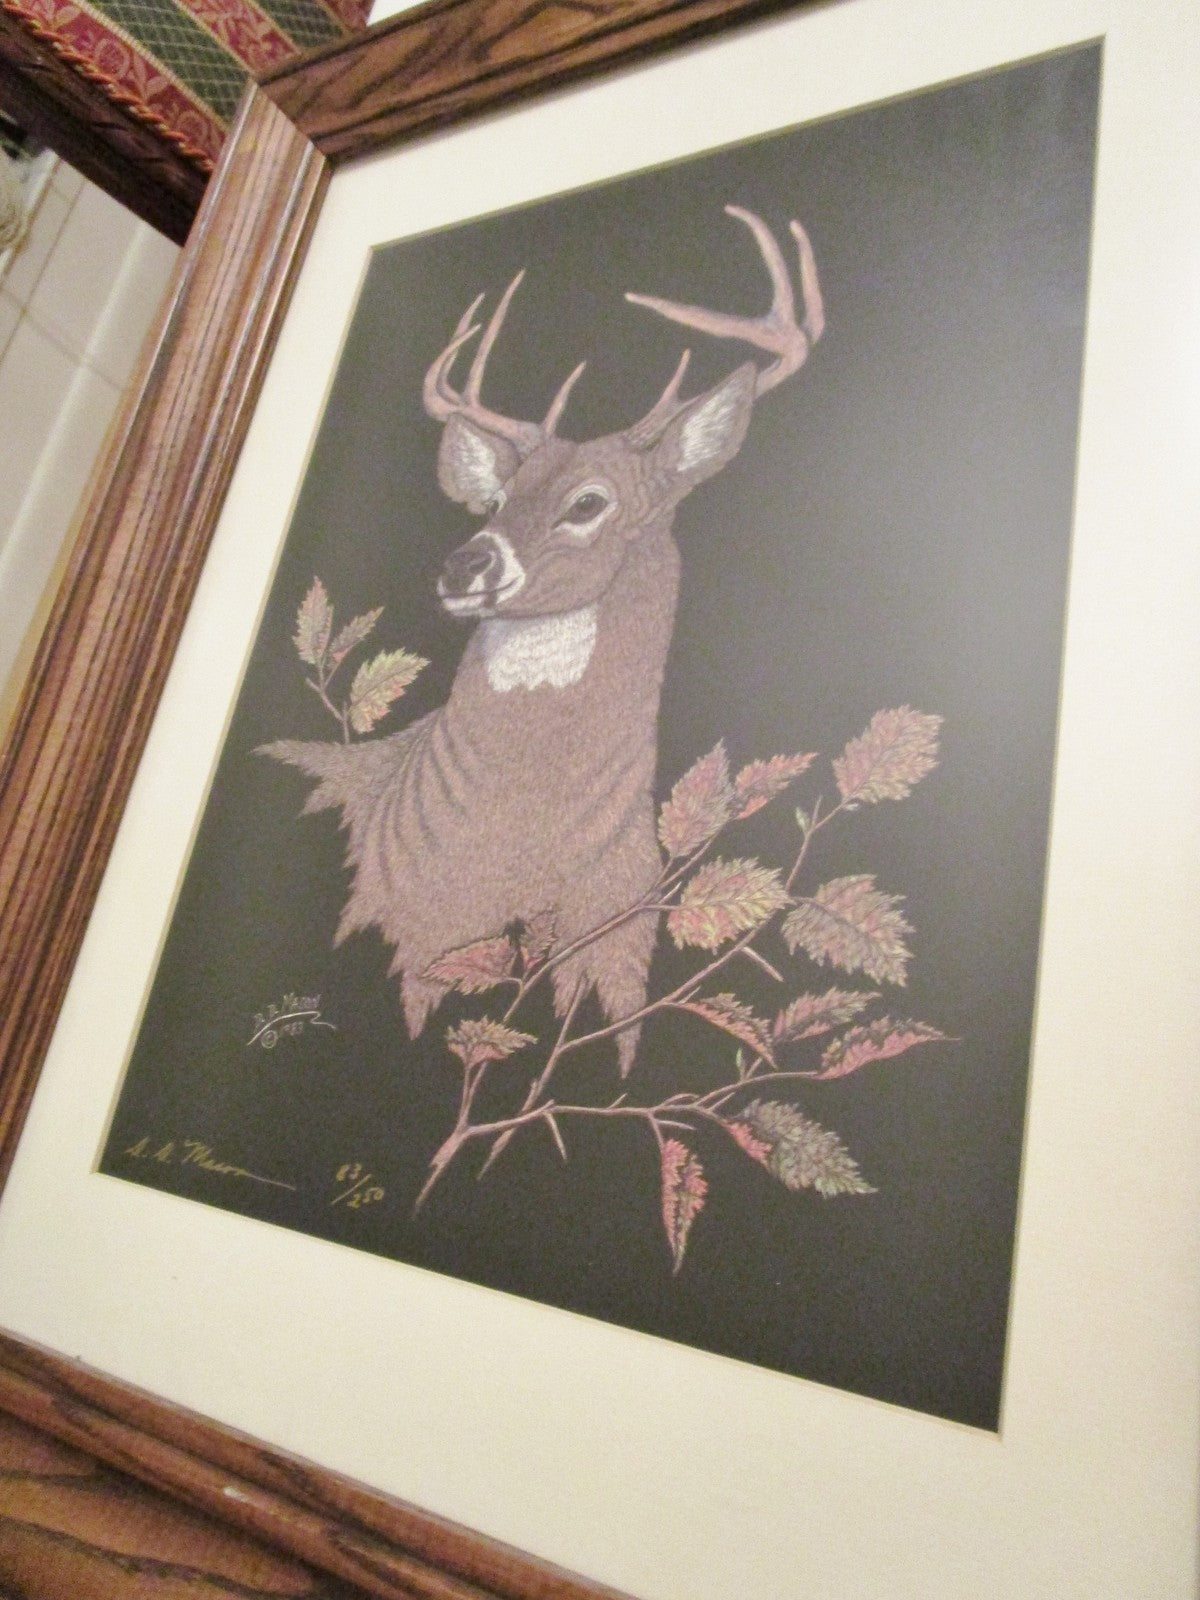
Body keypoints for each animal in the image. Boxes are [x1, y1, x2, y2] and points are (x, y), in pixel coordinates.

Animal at [263, 205, 824, 1077]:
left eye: (587, 503)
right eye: (497, 498)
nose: (463, 564)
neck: (520, 864)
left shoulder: (617, 965)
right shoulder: (414, 946)